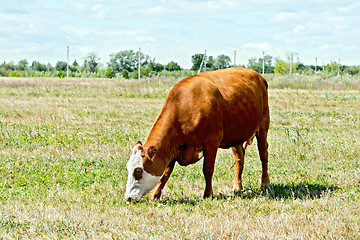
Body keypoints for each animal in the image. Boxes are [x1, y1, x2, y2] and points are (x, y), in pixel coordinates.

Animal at [125, 66, 268, 202]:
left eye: (138, 170)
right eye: (128, 168)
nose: (128, 197)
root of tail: (256, 74)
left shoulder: (211, 143)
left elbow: (208, 170)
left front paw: (208, 194)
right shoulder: (172, 148)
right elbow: (165, 173)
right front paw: (155, 194)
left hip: (263, 126)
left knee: (263, 154)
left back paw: (265, 183)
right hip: (236, 135)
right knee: (239, 158)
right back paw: (237, 186)